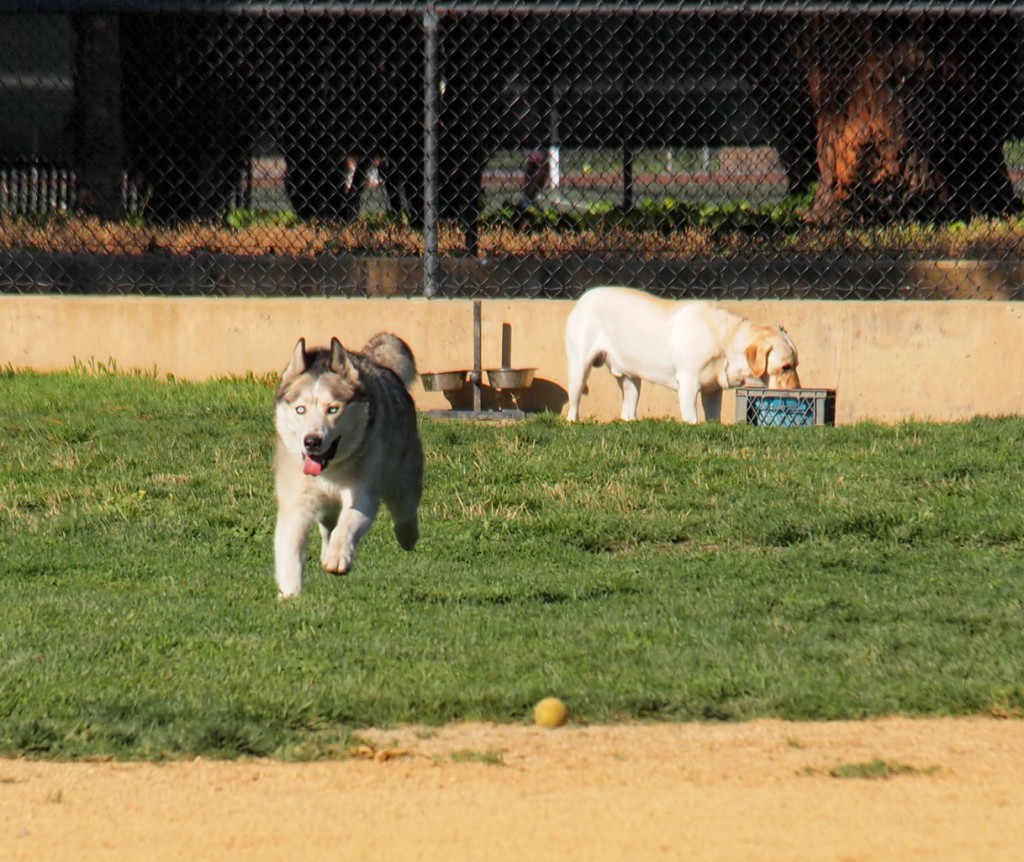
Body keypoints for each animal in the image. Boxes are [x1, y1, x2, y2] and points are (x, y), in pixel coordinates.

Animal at [272, 331, 423, 593]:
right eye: (300, 410)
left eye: (333, 409)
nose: (311, 442)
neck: (330, 471)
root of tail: (370, 360)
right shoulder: (296, 505)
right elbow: (290, 551)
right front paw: (291, 596)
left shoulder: (363, 494)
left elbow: (348, 523)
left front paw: (338, 556)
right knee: (327, 526)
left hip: (403, 480)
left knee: (405, 511)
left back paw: (407, 536)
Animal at [569, 286, 798, 421]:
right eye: (785, 367)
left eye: (796, 365)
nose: (798, 390)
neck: (725, 339)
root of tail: (584, 297)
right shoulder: (688, 384)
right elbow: (692, 420)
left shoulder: (713, 391)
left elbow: (713, 418)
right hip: (579, 370)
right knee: (573, 405)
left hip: (630, 379)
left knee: (628, 409)